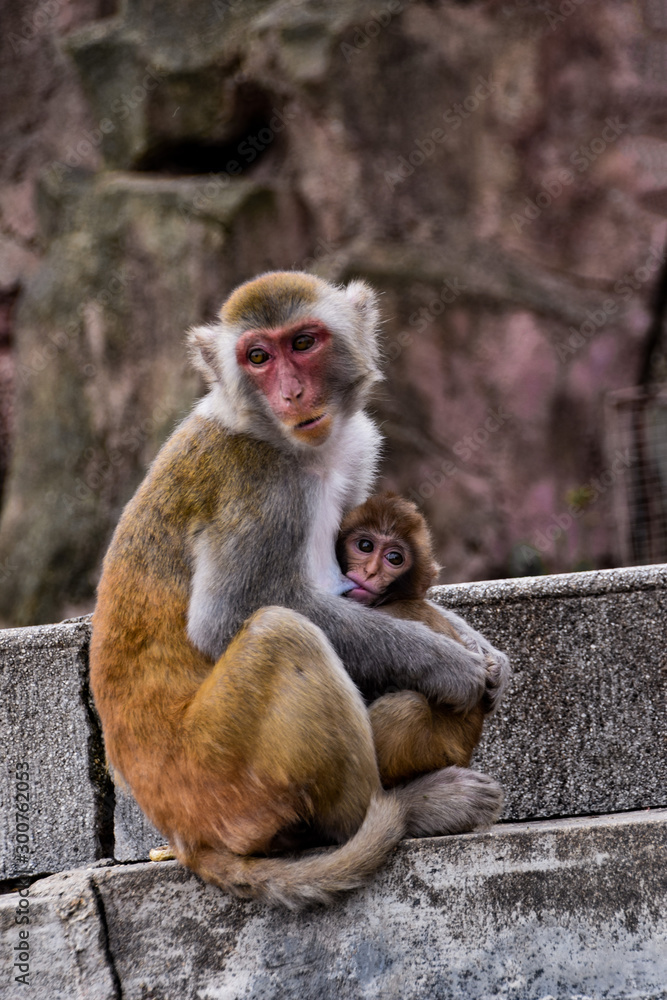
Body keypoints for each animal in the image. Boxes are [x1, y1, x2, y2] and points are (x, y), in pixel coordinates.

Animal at [336, 492, 497, 787]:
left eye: (394, 558)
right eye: (365, 545)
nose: (370, 572)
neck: (393, 598)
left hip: (432, 756)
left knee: (406, 706)